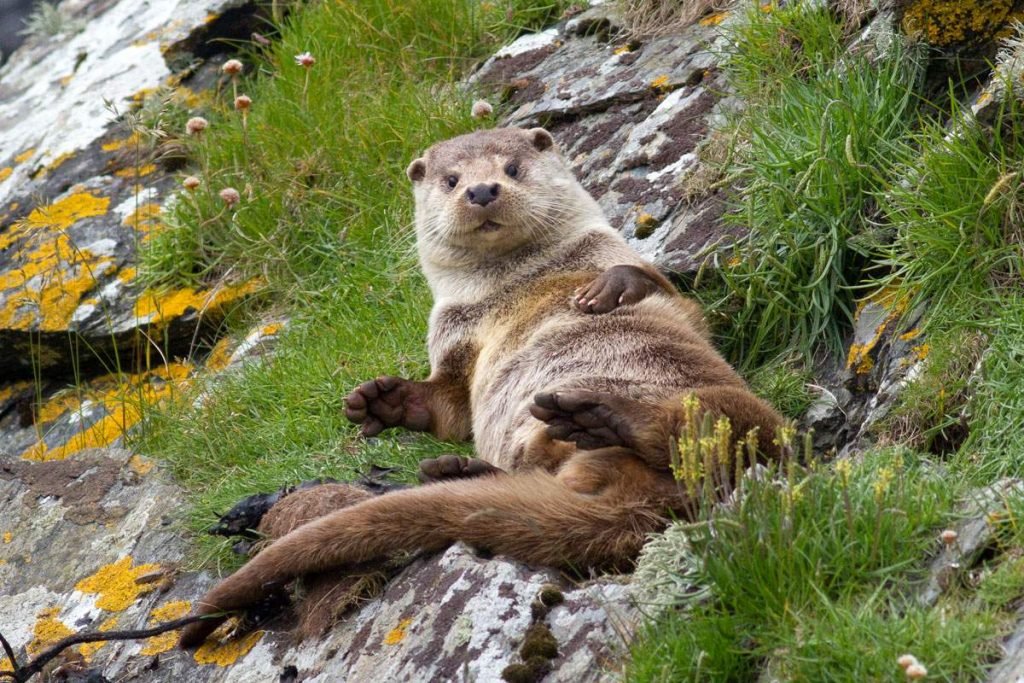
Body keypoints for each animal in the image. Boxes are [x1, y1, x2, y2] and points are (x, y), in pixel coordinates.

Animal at [178, 126, 782, 647]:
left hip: (732, 410)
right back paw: (464, 468)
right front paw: (380, 400)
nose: (482, 189)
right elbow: (446, 408)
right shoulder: (450, 339)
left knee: (722, 434)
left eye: (511, 168)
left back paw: (606, 414)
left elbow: (658, 283)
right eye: (450, 180)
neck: (512, 288)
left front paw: (607, 290)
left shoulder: (625, 259)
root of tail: (648, 506)